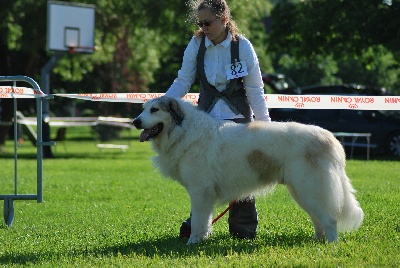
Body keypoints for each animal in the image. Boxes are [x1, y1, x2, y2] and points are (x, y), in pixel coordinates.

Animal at [133, 97, 364, 245]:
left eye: (155, 110)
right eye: (143, 109)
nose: (135, 121)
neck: (183, 131)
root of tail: (331, 139)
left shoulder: (200, 192)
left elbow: (198, 220)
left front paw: (193, 242)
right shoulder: (205, 195)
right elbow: (205, 220)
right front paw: (202, 239)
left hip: (311, 188)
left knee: (330, 220)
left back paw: (331, 245)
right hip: (302, 191)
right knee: (318, 219)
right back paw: (318, 241)